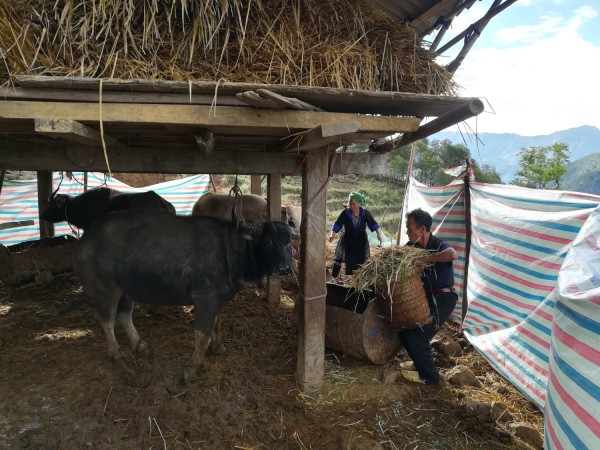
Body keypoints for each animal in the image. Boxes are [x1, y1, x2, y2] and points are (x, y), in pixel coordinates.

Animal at [74, 209, 294, 382]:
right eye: (268, 240)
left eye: (289, 242)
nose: (284, 269)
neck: (231, 251)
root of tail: (87, 237)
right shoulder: (204, 299)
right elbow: (202, 334)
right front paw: (192, 368)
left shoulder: (216, 300)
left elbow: (217, 324)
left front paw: (218, 348)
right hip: (106, 288)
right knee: (106, 320)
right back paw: (117, 356)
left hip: (126, 289)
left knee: (124, 315)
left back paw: (140, 345)